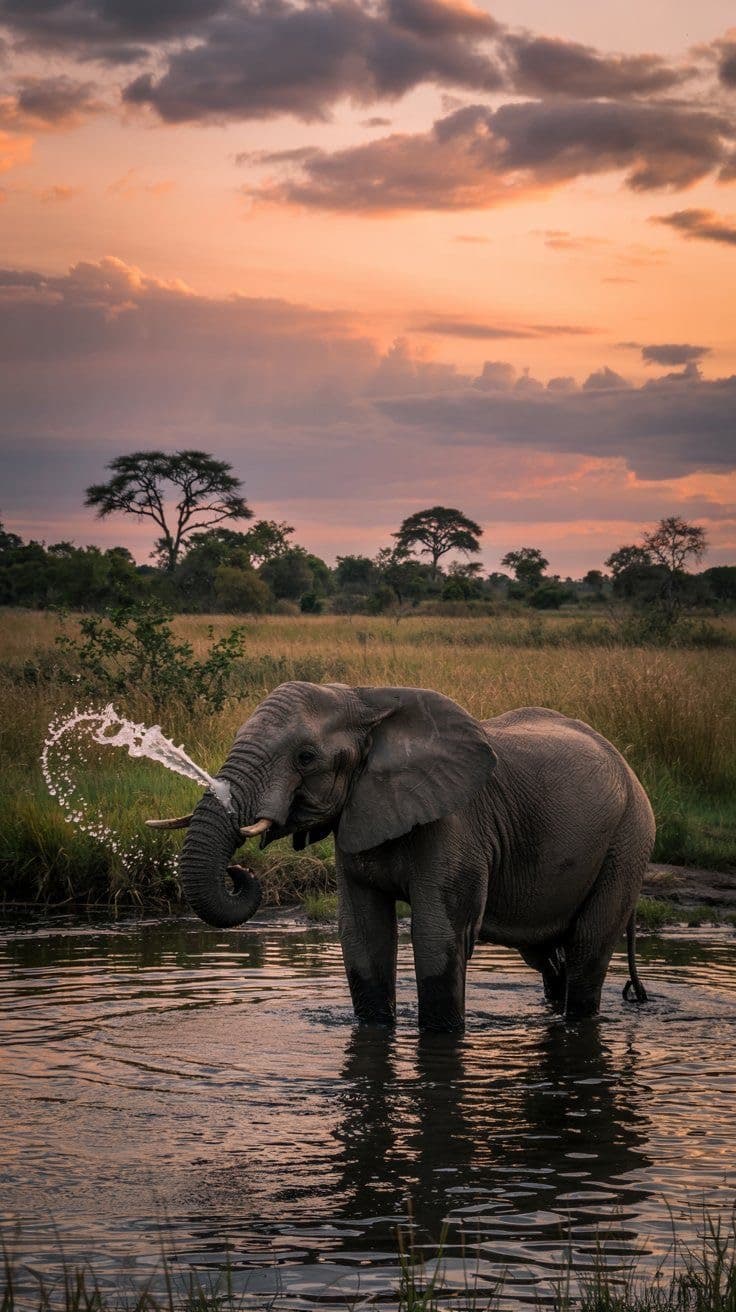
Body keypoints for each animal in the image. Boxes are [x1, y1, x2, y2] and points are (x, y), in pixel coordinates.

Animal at [147, 681, 655, 1030]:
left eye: (306, 758)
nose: (238, 872)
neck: (367, 700)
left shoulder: (456, 823)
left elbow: (436, 935)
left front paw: (442, 1037)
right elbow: (363, 934)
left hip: (628, 842)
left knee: (589, 950)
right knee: (547, 956)